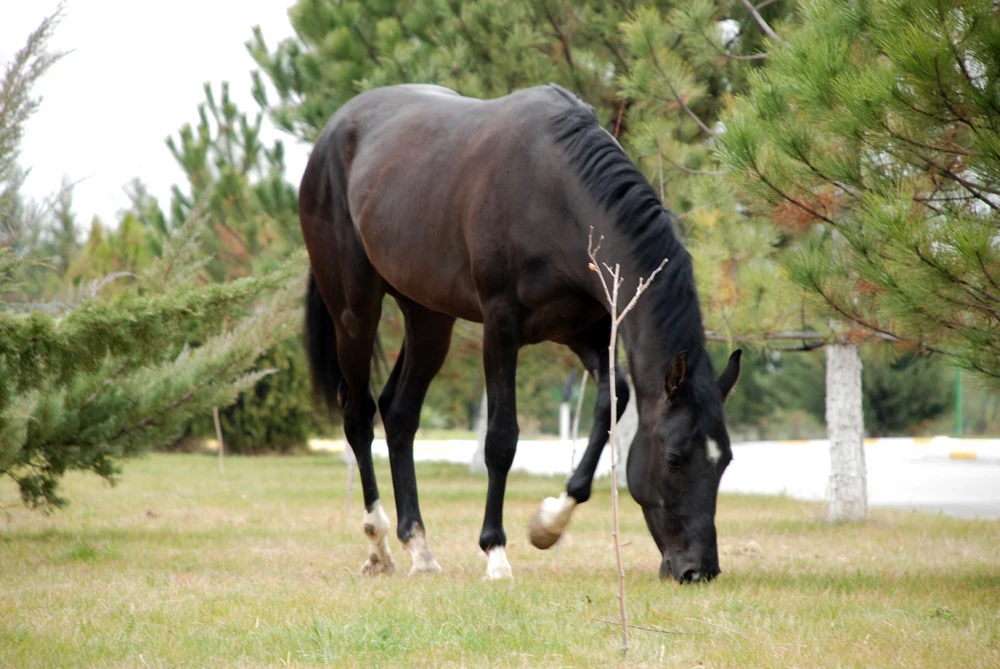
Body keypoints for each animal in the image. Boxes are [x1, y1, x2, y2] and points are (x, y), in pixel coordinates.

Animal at [300, 82, 740, 580]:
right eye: (675, 458)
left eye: (725, 461)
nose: (699, 569)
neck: (556, 193)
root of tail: (334, 131)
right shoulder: (501, 326)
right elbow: (501, 439)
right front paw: (495, 551)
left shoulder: (585, 331)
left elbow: (613, 401)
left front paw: (548, 523)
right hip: (354, 312)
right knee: (358, 415)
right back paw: (378, 546)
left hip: (430, 318)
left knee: (399, 413)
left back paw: (419, 546)